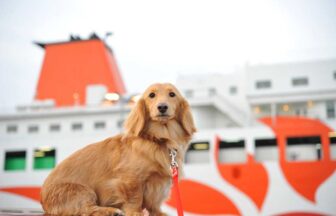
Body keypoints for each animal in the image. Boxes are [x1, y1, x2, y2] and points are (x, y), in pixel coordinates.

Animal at [40, 83, 196, 216]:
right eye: (152, 95)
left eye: (172, 94)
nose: (162, 107)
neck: (159, 139)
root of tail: (43, 200)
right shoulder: (130, 179)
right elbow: (135, 199)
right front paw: (136, 212)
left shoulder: (158, 184)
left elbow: (154, 204)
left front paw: (158, 212)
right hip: (83, 191)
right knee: (85, 209)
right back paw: (110, 210)